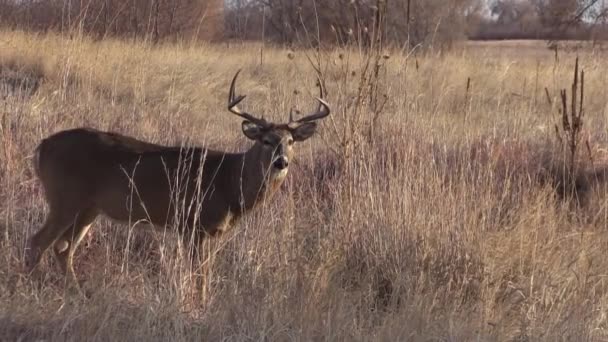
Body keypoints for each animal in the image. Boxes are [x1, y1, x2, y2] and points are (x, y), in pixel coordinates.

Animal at [23, 69, 330, 284]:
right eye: (266, 140)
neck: (228, 181)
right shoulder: (194, 224)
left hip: (89, 208)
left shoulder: (206, 232)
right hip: (64, 198)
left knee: (62, 249)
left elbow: (203, 274)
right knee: (37, 242)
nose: (281, 162)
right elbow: (198, 276)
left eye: (290, 141)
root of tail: (42, 146)